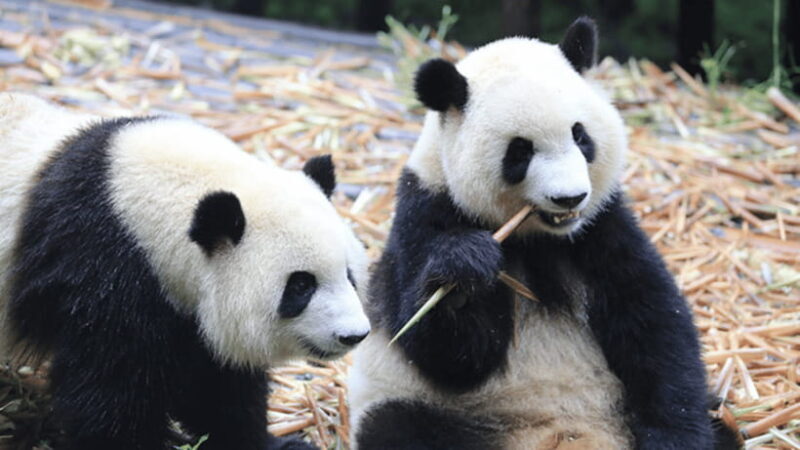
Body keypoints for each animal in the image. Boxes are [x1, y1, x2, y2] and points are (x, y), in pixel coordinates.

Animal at [0, 93, 371, 450]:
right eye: (301, 285)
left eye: (349, 276)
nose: (353, 335)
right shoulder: (102, 268)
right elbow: (109, 388)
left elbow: (216, 385)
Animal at [348, 18, 739, 450]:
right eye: (520, 151)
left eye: (581, 136)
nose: (569, 198)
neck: (536, 238)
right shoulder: (425, 214)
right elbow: (448, 354)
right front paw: (464, 272)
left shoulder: (601, 227)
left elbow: (652, 322)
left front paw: (675, 435)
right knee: (398, 426)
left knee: (720, 424)